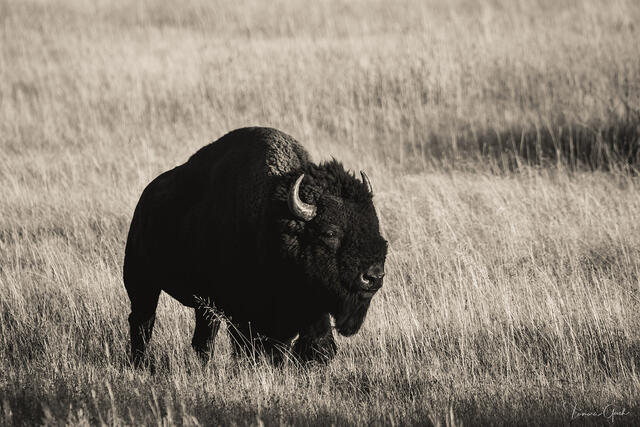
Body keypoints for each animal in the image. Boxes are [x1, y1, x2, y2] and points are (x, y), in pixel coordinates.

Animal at [123, 127, 387, 367]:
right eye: (330, 232)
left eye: (374, 226)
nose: (373, 277)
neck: (271, 219)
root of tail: (144, 200)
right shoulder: (240, 311)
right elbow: (247, 346)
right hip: (141, 282)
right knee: (143, 322)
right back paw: (139, 362)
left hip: (202, 304)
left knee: (202, 336)